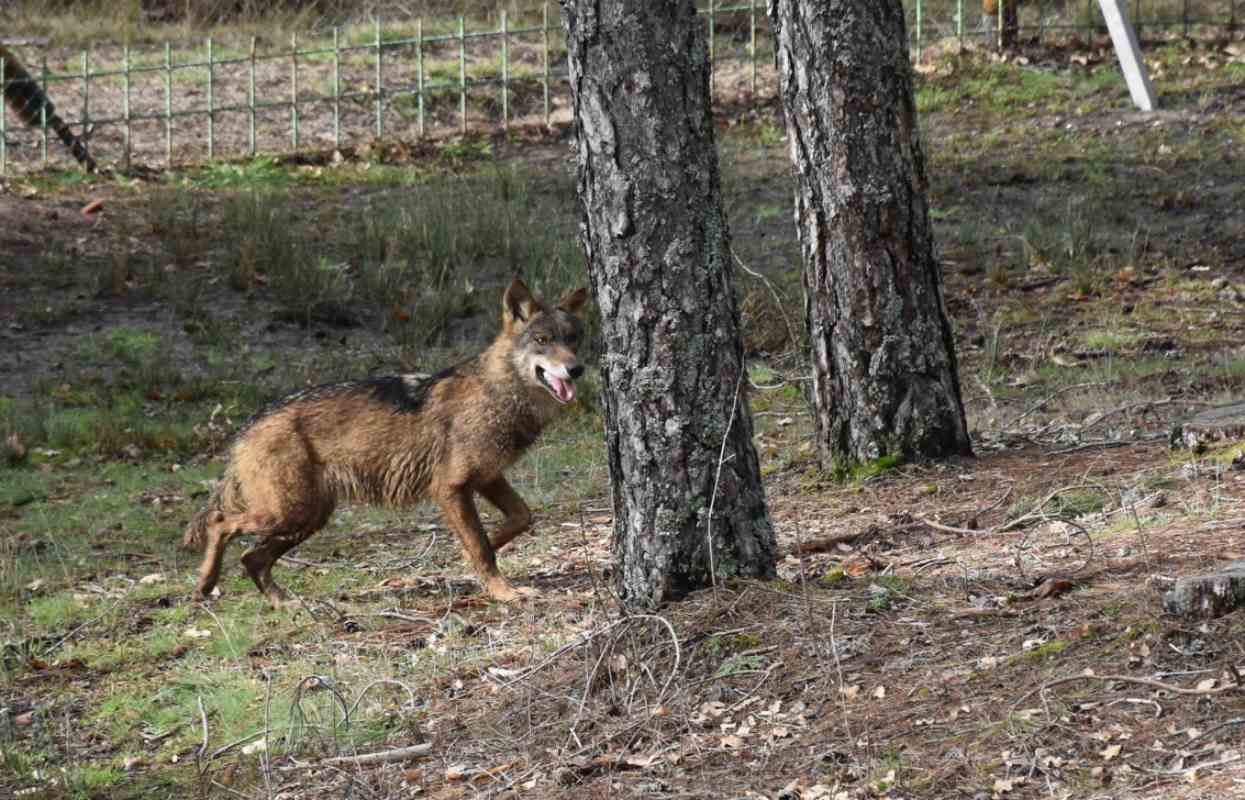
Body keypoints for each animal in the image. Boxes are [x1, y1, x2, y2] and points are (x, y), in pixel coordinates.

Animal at [183, 279, 587, 607]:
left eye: (573, 339)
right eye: (543, 341)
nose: (577, 369)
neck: (498, 393)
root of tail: (248, 426)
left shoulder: (487, 478)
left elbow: (519, 519)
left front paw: (480, 551)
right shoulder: (451, 488)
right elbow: (481, 547)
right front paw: (503, 591)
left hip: (307, 517)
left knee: (251, 558)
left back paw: (283, 603)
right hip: (288, 512)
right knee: (220, 524)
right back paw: (205, 584)